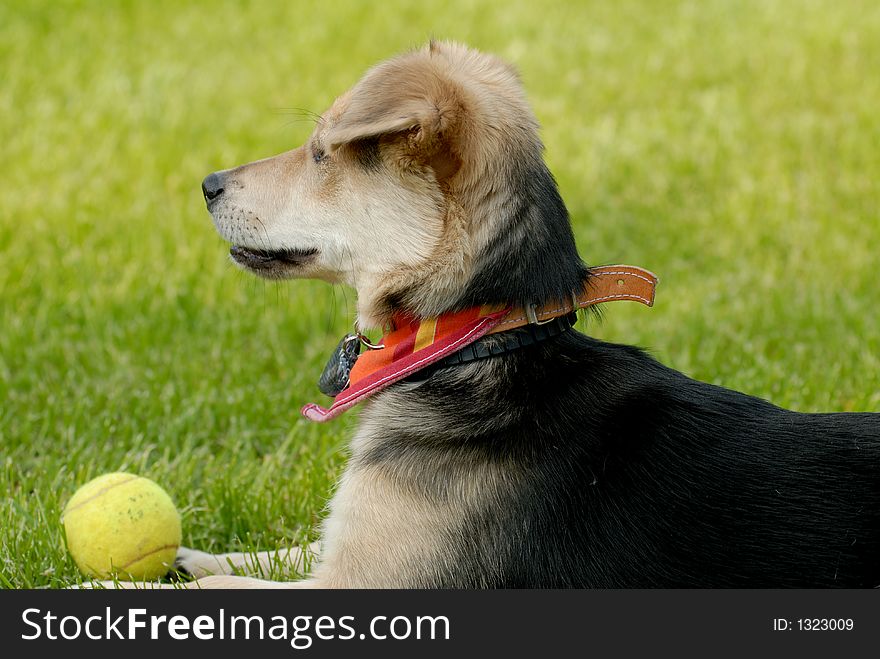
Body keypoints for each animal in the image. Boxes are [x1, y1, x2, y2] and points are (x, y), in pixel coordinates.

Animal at [180, 40, 880, 588]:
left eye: (322, 153)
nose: (207, 183)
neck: (479, 341)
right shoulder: (353, 552)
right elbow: (277, 554)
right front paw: (193, 554)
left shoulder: (366, 583)